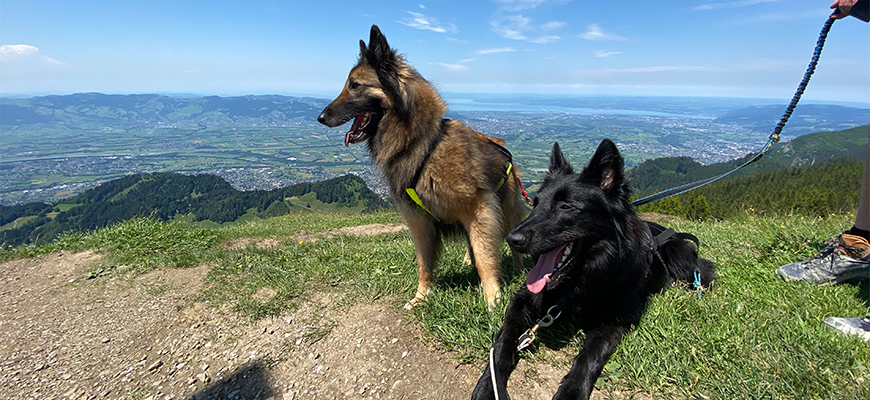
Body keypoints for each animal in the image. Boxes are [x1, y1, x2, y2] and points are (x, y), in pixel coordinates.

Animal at [476, 139, 716, 398]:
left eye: (565, 206)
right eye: (536, 204)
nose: (512, 239)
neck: (576, 281)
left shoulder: (613, 321)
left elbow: (590, 356)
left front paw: (571, 391)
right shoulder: (521, 302)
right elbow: (502, 344)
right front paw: (489, 384)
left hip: (682, 261)